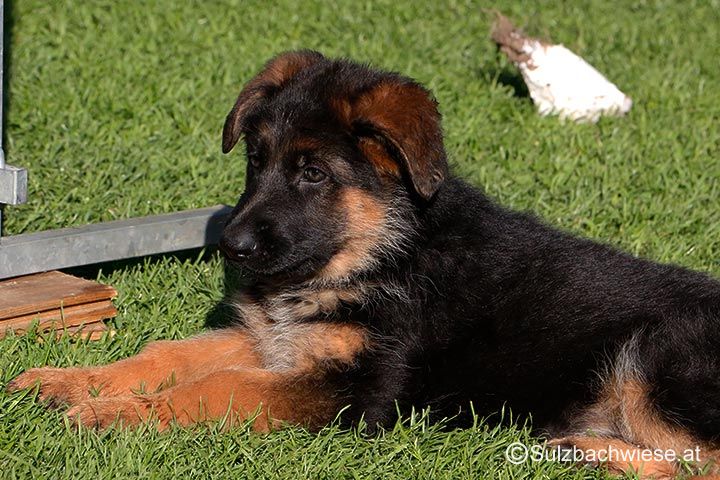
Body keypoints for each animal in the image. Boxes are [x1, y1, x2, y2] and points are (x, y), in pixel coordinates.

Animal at [8, 51, 720, 479]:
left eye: (313, 174)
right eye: (256, 162)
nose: (230, 247)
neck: (381, 252)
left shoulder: (355, 389)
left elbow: (215, 387)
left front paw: (110, 416)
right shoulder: (270, 341)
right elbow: (166, 356)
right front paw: (72, 382)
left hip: (654, 360)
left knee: (698, 464)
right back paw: (577, 448)